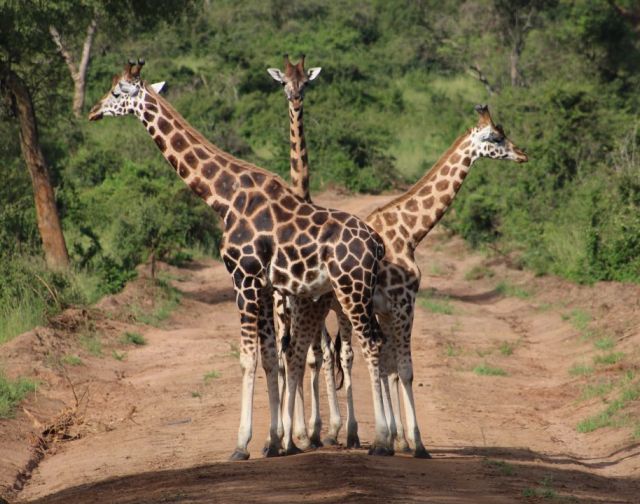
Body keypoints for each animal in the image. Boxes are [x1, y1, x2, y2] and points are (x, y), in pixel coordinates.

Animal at [87, 61, 392, 458]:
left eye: (117, 92)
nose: (93, 111)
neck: (223, 197)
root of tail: (377, 243)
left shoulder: (243, 278)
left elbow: (248, 358)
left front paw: (243, 443)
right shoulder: (263, 285)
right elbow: (270, 356)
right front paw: (274, 441)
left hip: (349, 289)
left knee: (368, 344)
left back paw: (381, 440)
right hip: (357, 292)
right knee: (371, 342)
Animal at [332, 103, 528, 456]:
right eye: (495, 137)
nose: (522, 154)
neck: (409, 232)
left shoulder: (386, 309)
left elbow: (391, 368)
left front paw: (398, 439)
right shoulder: (403, 303)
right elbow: (404, 370)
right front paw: (415, 442)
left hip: (337, 308)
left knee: (336, 356)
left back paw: (338, 434)